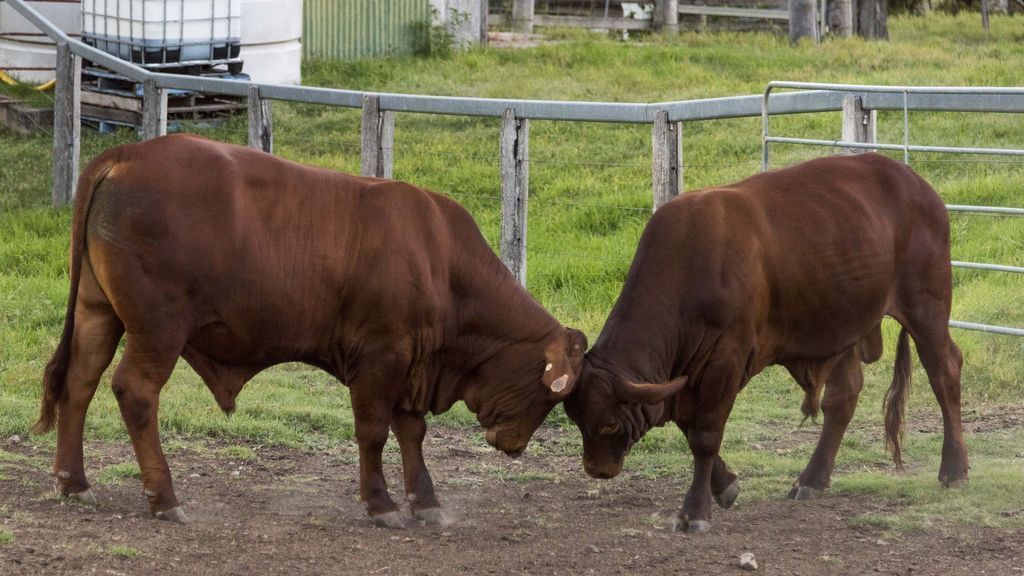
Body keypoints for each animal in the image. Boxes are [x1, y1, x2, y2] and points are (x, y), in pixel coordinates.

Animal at [36, 133, 585, 524]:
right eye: (553, 394)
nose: (514, 445)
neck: (440, 259)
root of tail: (128, 154)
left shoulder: (412, 362)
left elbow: (412, 431)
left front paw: (425, 502)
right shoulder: (381, 356)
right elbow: (373, 432)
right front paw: (381, 503)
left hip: (97, 312)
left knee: (79, 383)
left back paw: (73, 481)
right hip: (159, 328)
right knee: (135, 392)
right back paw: (164, 497)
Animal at [565, 151, 970, 528]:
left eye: (610, 424)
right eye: (576, 418)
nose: (598, 468)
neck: (690, 266)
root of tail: (914, 182)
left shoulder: (725, 361)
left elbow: (704, 434)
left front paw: (695, 511)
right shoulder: (683, 377)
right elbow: (688, 424)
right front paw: (725, 485)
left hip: (926, 305)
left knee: (944, 372)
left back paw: (954, 469)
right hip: (841, 324)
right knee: (843, 397)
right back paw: (811, 479)